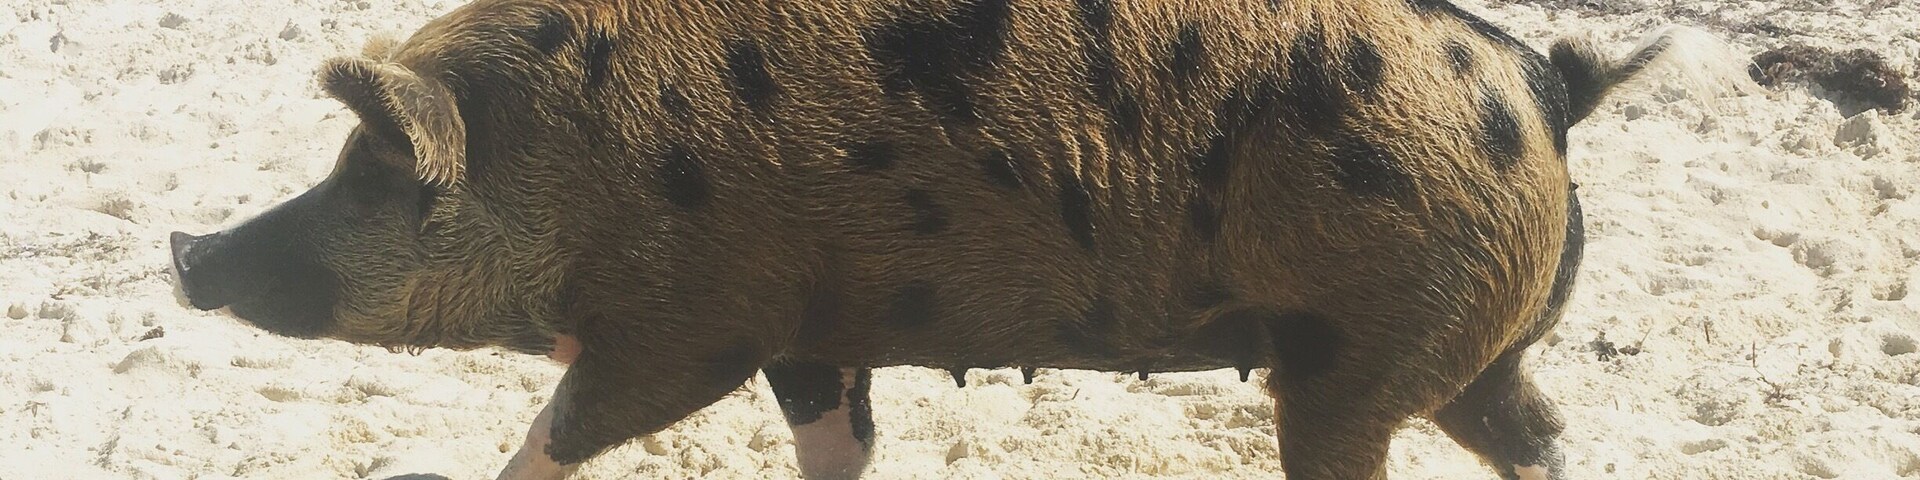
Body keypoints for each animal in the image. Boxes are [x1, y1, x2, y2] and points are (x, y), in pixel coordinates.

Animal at [167, 0, 1742, 478]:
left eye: (367, 173)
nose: (184, 246)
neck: (574, 168)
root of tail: (1549, 82)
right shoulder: (813, 324)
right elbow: (836, 439)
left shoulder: (695, 317)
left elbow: (569, 425)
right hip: (1463, 343)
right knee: (1544, 434)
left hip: (1363, 345)